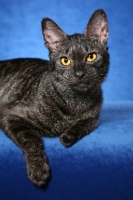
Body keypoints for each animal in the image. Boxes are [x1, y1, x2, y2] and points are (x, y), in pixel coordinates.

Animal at [0, 9, 109, 188]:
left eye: (91, 57)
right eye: (65, 60)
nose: (79, 74)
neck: (75, 103)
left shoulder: (94, 117)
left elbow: (85, 124)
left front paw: (67, 136)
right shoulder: (9, 114)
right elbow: (31, 138)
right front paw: (38, 169)